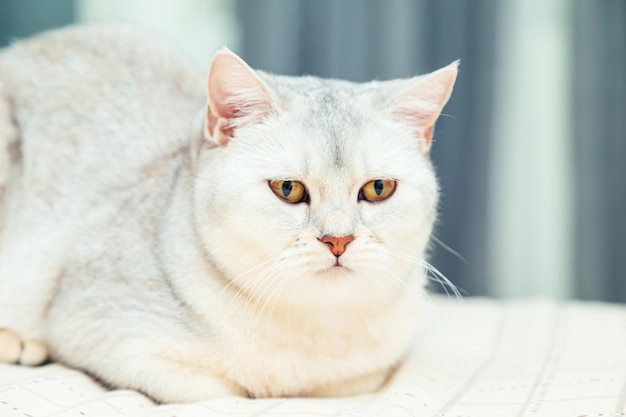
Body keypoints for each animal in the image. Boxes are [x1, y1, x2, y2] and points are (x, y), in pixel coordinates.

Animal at [0, 24, 456, 402]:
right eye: (288, 189)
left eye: (378, 189)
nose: (338, 239)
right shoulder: (106, 334)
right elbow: (221, 391)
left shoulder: (364, 377)